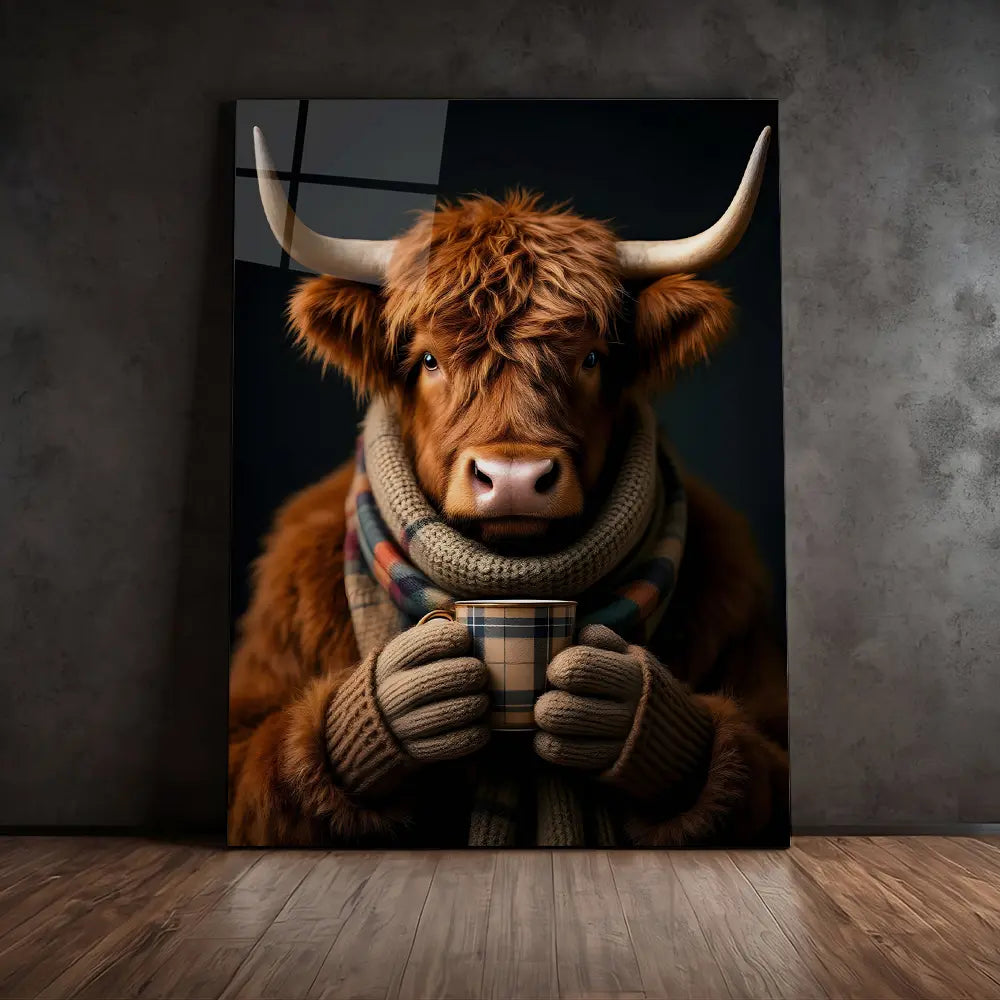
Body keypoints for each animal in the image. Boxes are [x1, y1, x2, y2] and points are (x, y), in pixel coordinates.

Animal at [228, 125, 788, 847]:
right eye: (428, 358)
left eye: (590, 356)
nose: (515, 479)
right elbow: (250, 749)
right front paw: (401, 702)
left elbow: (764, 756)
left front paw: (627, 708)